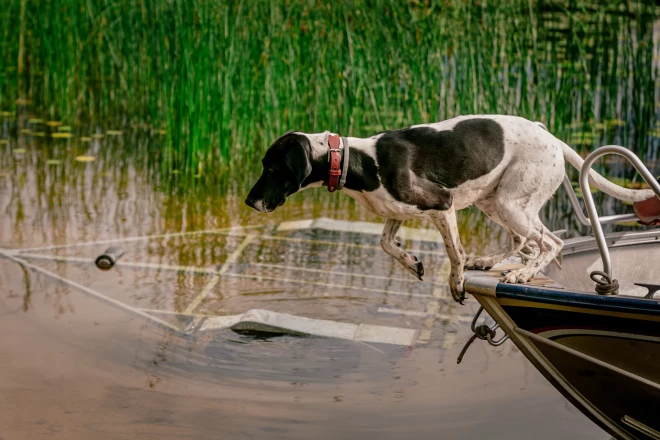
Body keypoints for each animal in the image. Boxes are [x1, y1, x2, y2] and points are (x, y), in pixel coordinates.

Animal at [245, 114, 652, 302]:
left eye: (271, 168)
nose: (249, 201)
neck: (356, 159)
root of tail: (552, 137)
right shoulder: (397, 212)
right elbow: (385, 244)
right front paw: (413, 263)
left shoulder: (442, 205)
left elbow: (454, 252)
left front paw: (455, 284)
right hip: (496, 201)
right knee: (524, 242)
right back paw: (491, 263)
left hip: (510, 203)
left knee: (551, 243)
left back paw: (521, 275)